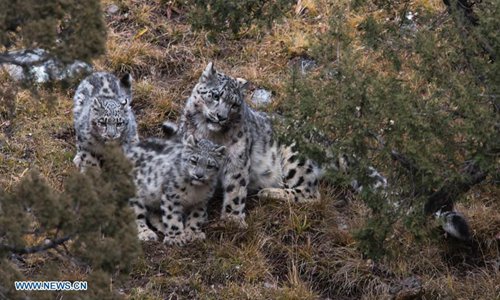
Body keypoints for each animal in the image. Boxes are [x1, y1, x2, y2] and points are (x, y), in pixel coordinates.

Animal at [163, 63, 320, 227]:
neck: (211, 135)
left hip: (294, 157)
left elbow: (235, 188)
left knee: (311, 193)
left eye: (234, 105)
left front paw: (232, 220)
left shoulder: (237, 157)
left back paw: (268, 193)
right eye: (215, 95)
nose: (221, 117)